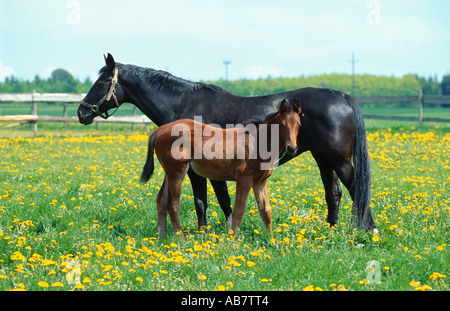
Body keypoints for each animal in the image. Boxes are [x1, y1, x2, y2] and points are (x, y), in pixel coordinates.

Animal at [77, 54, 376, 233]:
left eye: (102, 82)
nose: (82, 112)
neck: (182, 103)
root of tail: (341, 95)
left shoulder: (198, 171)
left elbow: (203, 202)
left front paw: (204, 233)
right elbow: (223, 201)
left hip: (338, 161)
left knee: (355, 189)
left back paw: (369, 231)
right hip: (323, 159)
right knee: (333, 194)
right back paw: (330, 231)